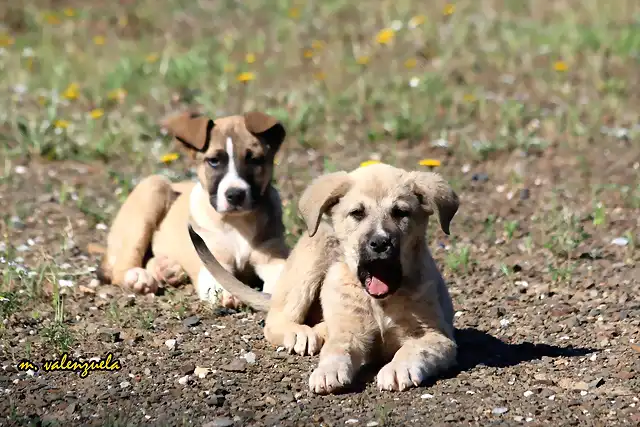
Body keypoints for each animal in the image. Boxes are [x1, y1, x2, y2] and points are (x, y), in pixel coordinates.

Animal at [98, 112, 290, 310]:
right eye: (214, 161)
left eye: (254, 159)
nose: (235, 194)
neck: (237, 223)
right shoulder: (210, 258)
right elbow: (218, 281)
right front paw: (226, 294)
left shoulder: (272, 256)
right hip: (154, 188)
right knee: (121, 267)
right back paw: (139, 277)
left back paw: (166, 269)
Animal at [190, 163, 460, 394]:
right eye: (357, 213)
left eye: (401, 212)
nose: (380, 243)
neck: (379, 302)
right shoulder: (348, 333)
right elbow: (336, 350)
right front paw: (328, 371)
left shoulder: (437, 336)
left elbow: (415, 349)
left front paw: (397, 368)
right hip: (314, 254)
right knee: (277, 320)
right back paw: (301, 334)